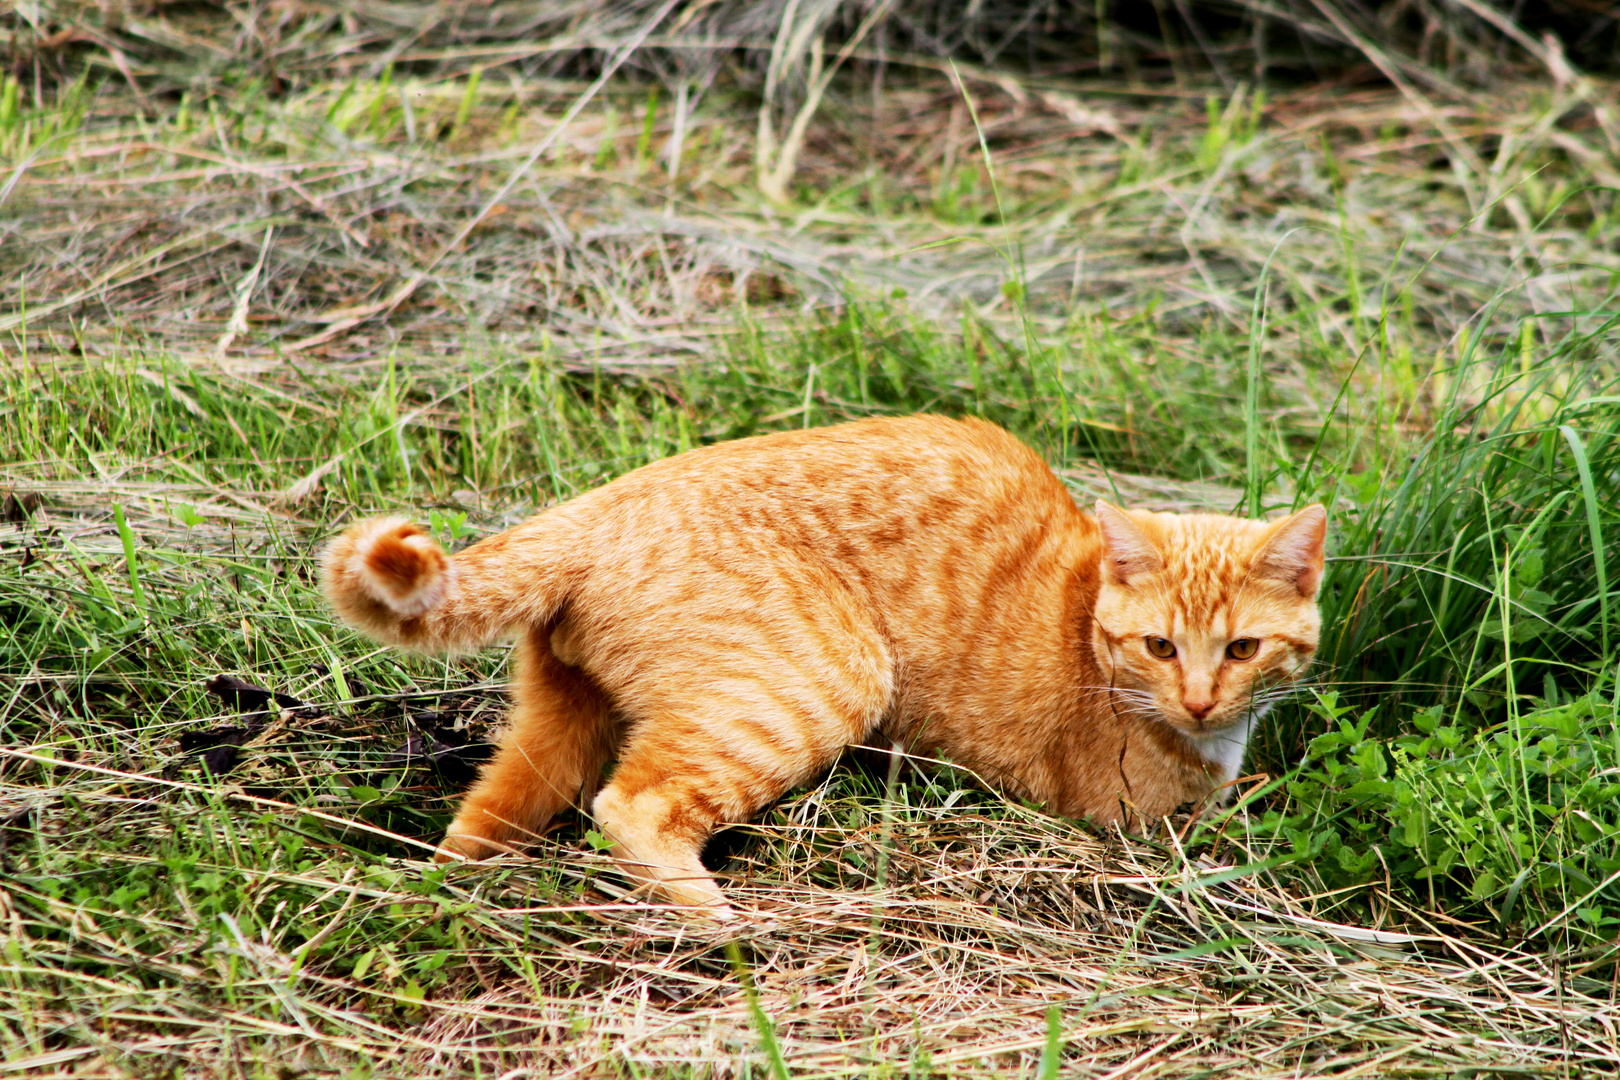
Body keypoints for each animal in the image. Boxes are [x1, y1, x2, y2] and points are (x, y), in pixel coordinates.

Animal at [322, 417, 1321, 919]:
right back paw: (720, 928)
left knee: (482, 819)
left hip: (552, 732)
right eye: (1160, 647)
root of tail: (602, 503)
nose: (1200, 699)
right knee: (632, 805)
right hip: (818, 687)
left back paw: (442, 895)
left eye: (1241, 649)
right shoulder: (1130, 827)